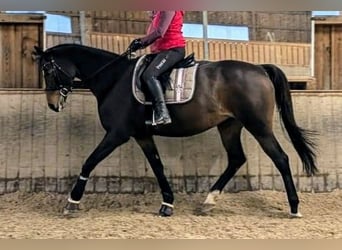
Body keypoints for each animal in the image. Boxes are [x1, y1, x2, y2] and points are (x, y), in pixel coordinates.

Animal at [32, 44, 318, 218]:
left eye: (47, 68)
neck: (114, 79)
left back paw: (294, 208)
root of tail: (259, 68)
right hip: (229, 125)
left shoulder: (117, 134)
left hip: (258, 125)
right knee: (237, 158)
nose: (53, 104)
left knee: (280, 158)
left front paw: (72, 201)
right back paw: (208, 201)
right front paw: (167, 203)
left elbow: (89, 161)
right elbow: (157, 167)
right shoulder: (142, 135)